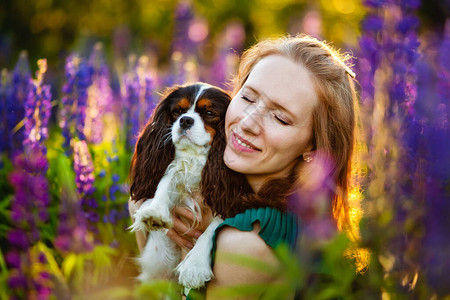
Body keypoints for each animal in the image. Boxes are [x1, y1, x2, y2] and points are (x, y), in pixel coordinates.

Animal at [128, 82, 230, 288]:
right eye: (177, 111)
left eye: (209, 113)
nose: (185, 120)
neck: (196, 157)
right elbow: (165, 182)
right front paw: (155, 212)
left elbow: (213, 227)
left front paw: (195, 266)